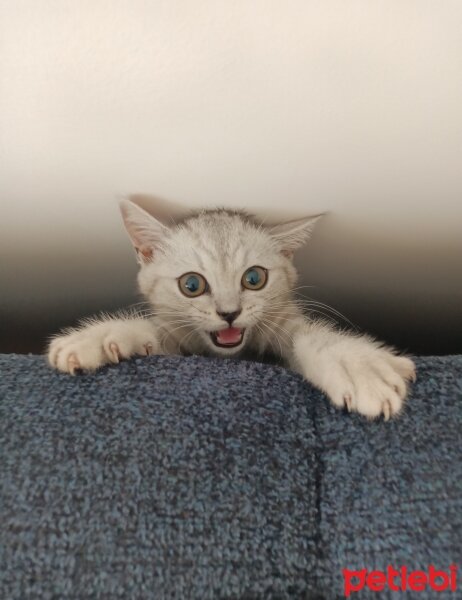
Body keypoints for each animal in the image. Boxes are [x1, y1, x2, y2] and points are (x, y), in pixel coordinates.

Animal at [47, 199, 416, 420]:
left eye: (254, 278)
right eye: (191, 285)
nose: (229, 313)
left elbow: (308, 336)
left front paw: (356, 365)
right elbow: (158, 331)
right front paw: (98, 337)